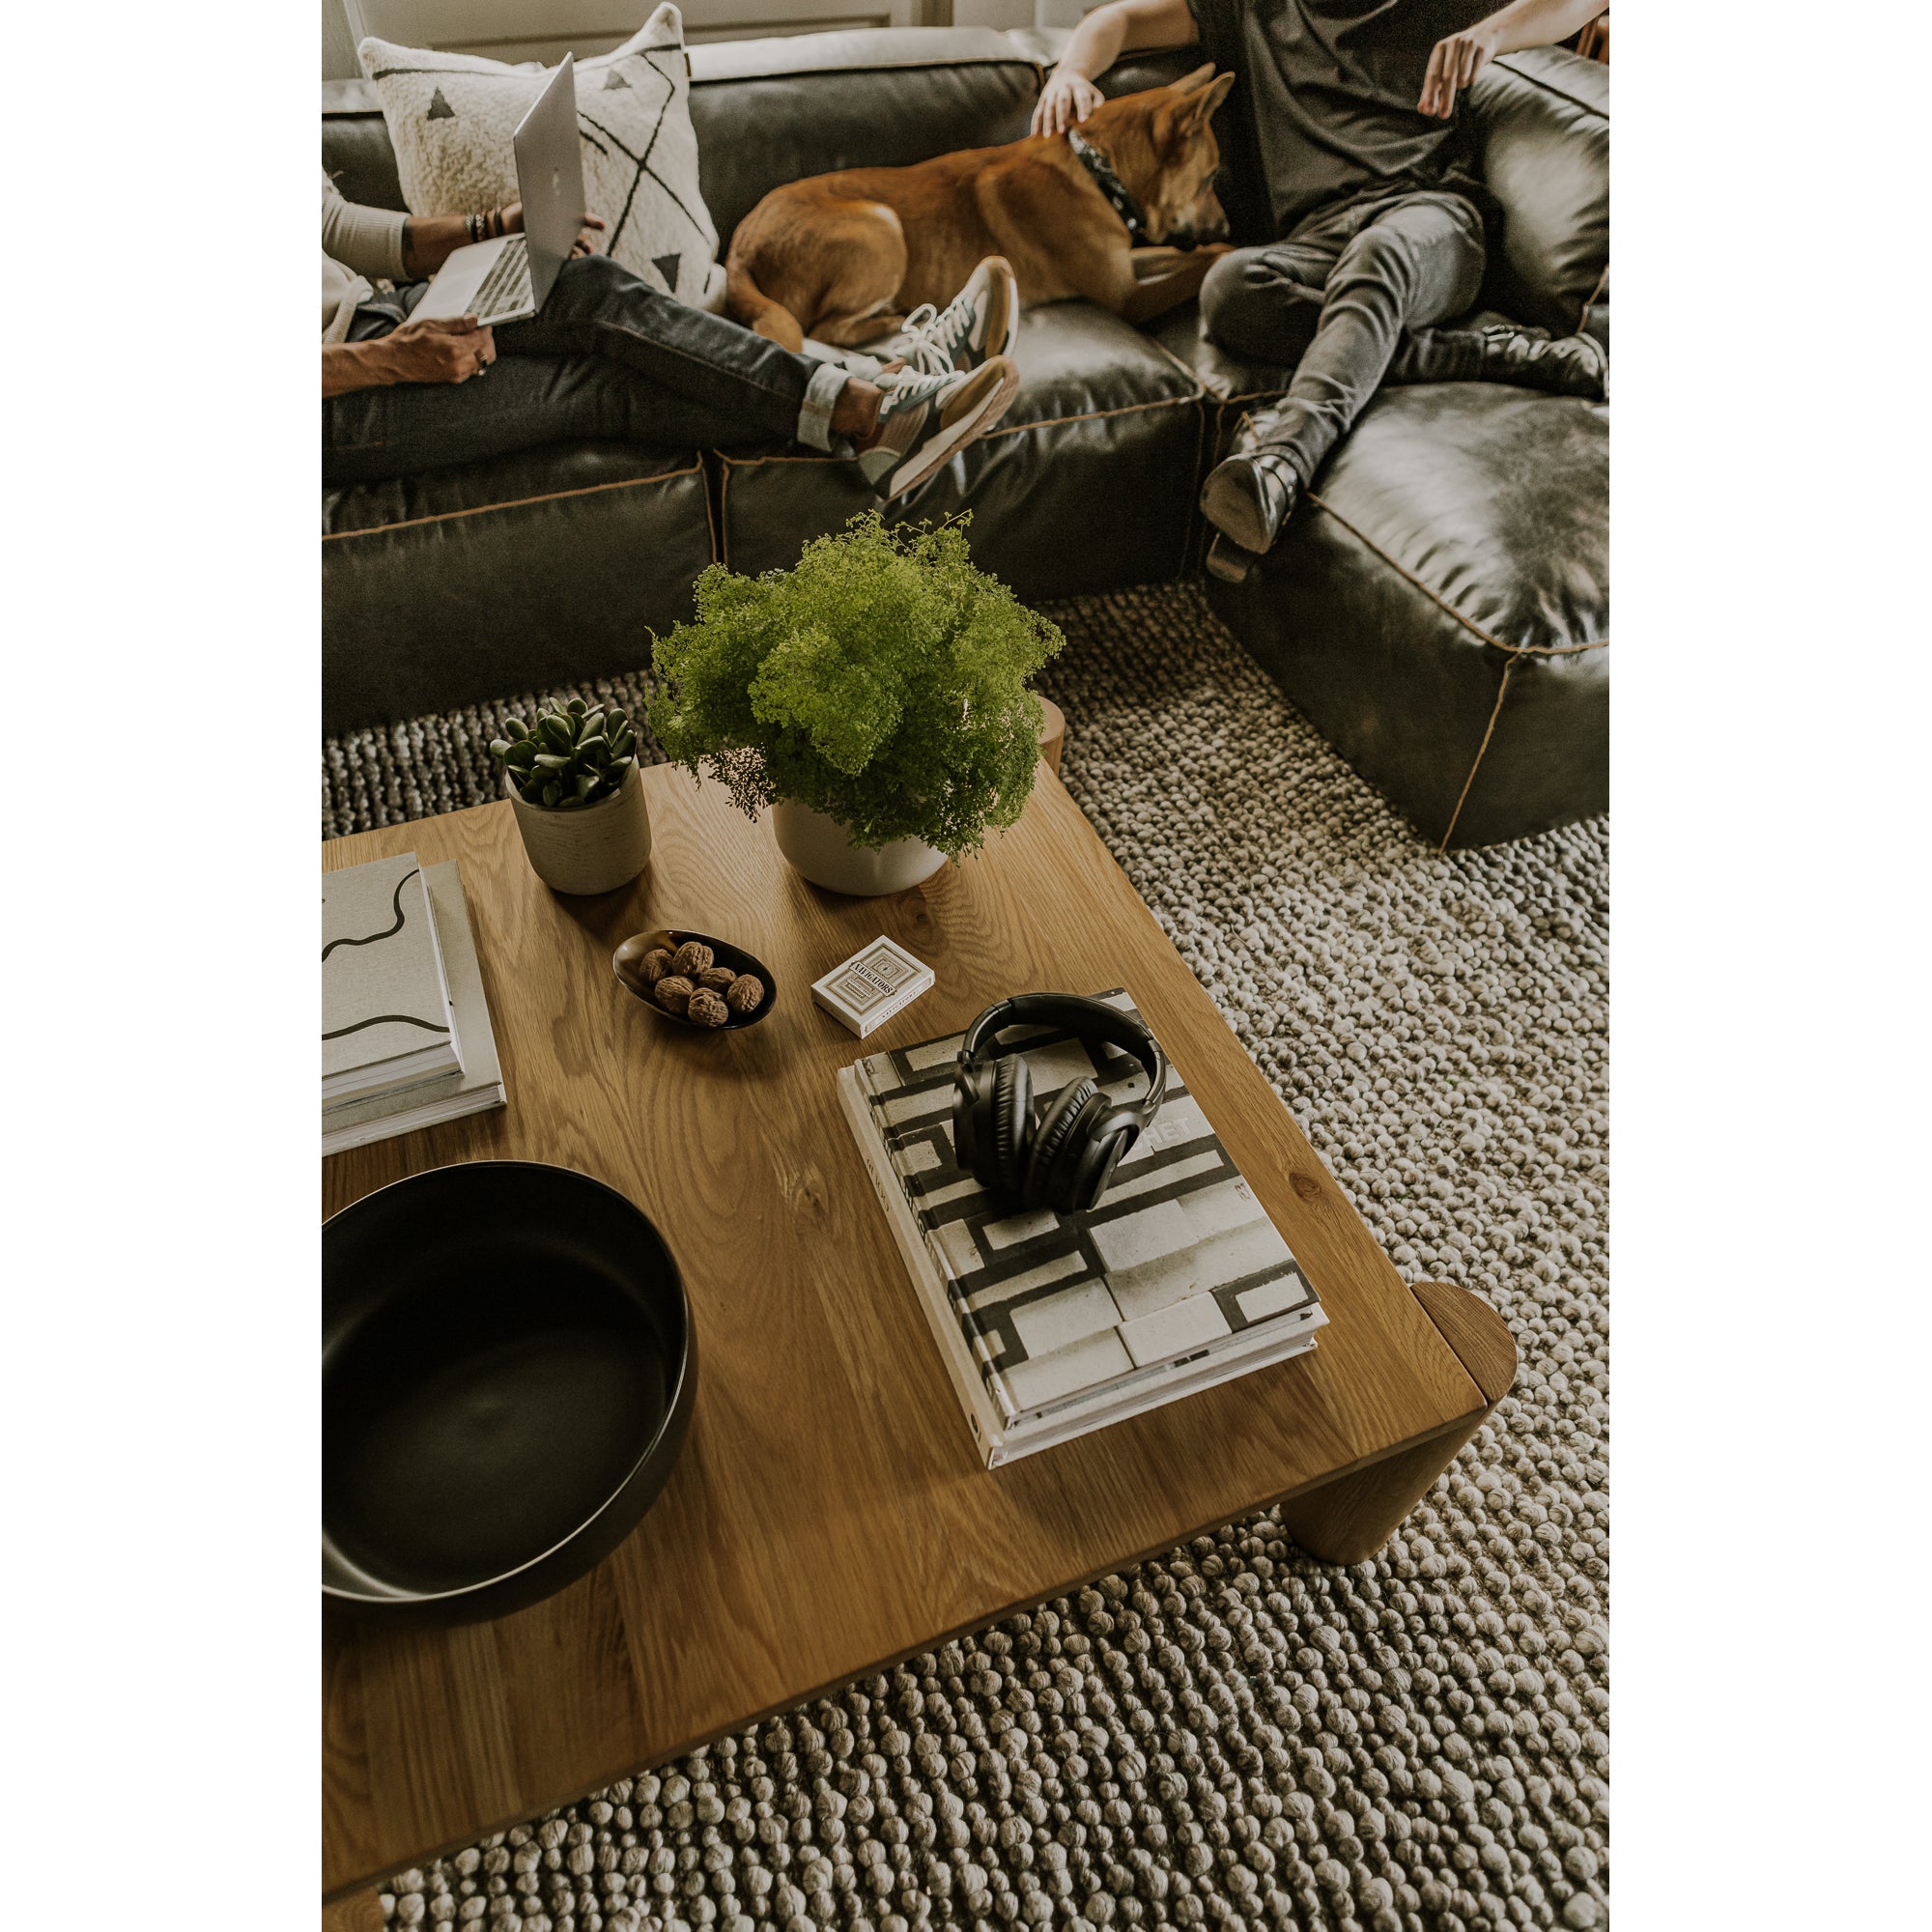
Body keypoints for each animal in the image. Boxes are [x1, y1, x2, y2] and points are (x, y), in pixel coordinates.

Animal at [726, 66, 1236, 354]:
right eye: (1211, 177)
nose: (1228, 223)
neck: (1094, 165)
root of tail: (739, 250)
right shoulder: (1127, 298)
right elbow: (1198, 268)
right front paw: (1235, 252)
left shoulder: (1127, 262)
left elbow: (1199, 254)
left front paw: (1226, 245)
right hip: (882, 228)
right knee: (823, 329)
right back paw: (892, 319)